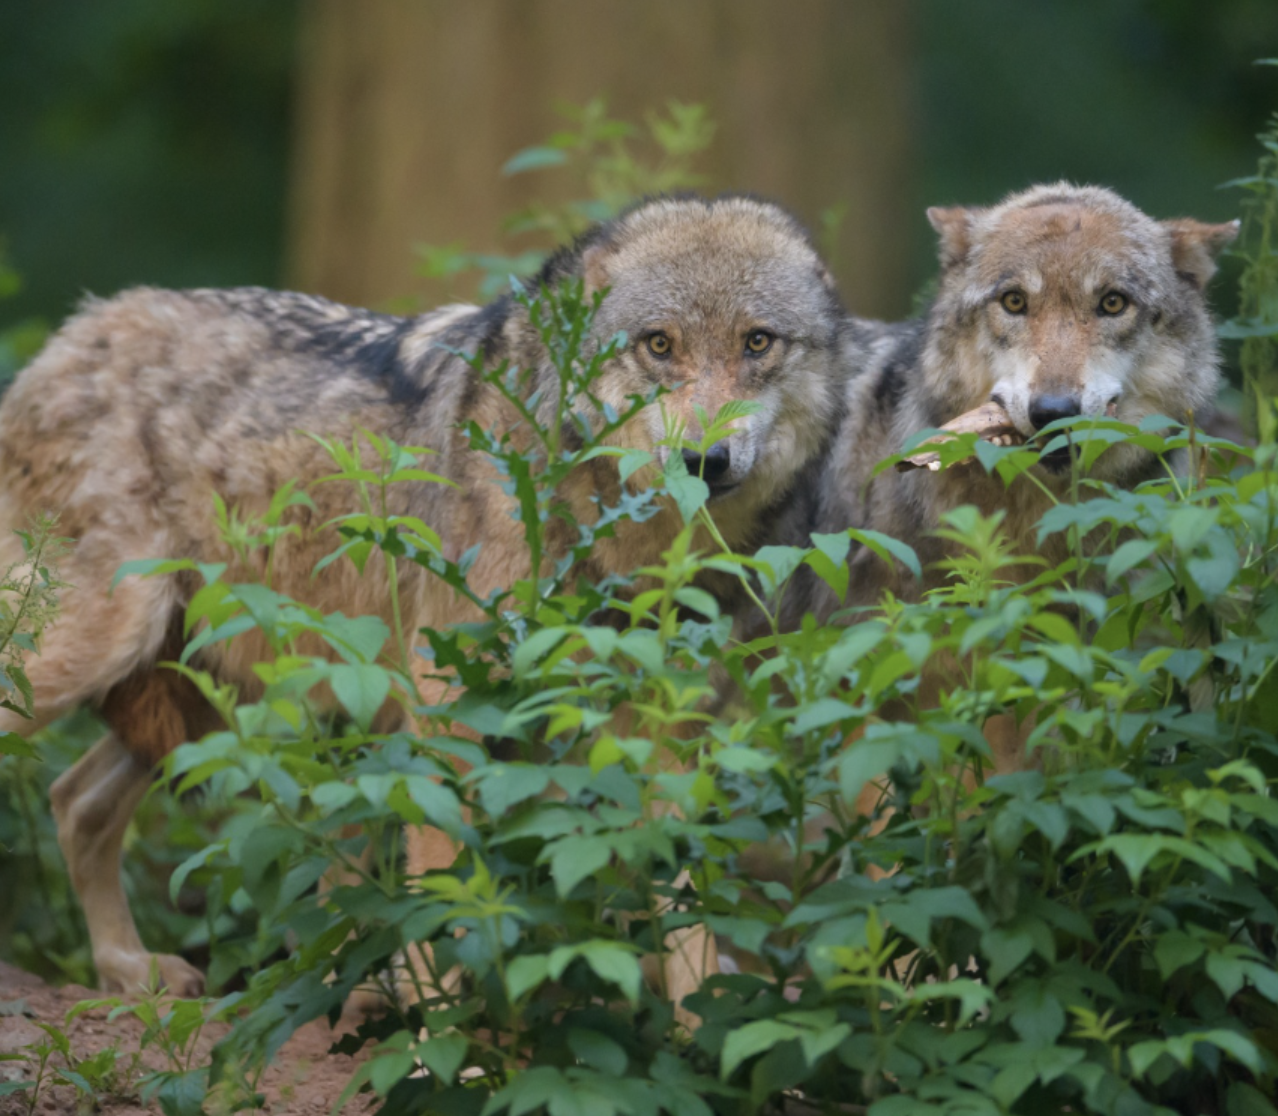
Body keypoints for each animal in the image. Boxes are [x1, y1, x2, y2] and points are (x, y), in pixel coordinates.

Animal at [0, 194, 851, 998]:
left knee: (76, 801)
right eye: (660, 344)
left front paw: (698, 1032)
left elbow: (685, 915)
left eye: (757, 343)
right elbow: (448, 900)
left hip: (204, 695)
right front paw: (442, 1041)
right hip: (101, 651)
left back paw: (128, 969)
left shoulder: (659, 721)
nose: (706, 460)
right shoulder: (446, 699)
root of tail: (68, 334)